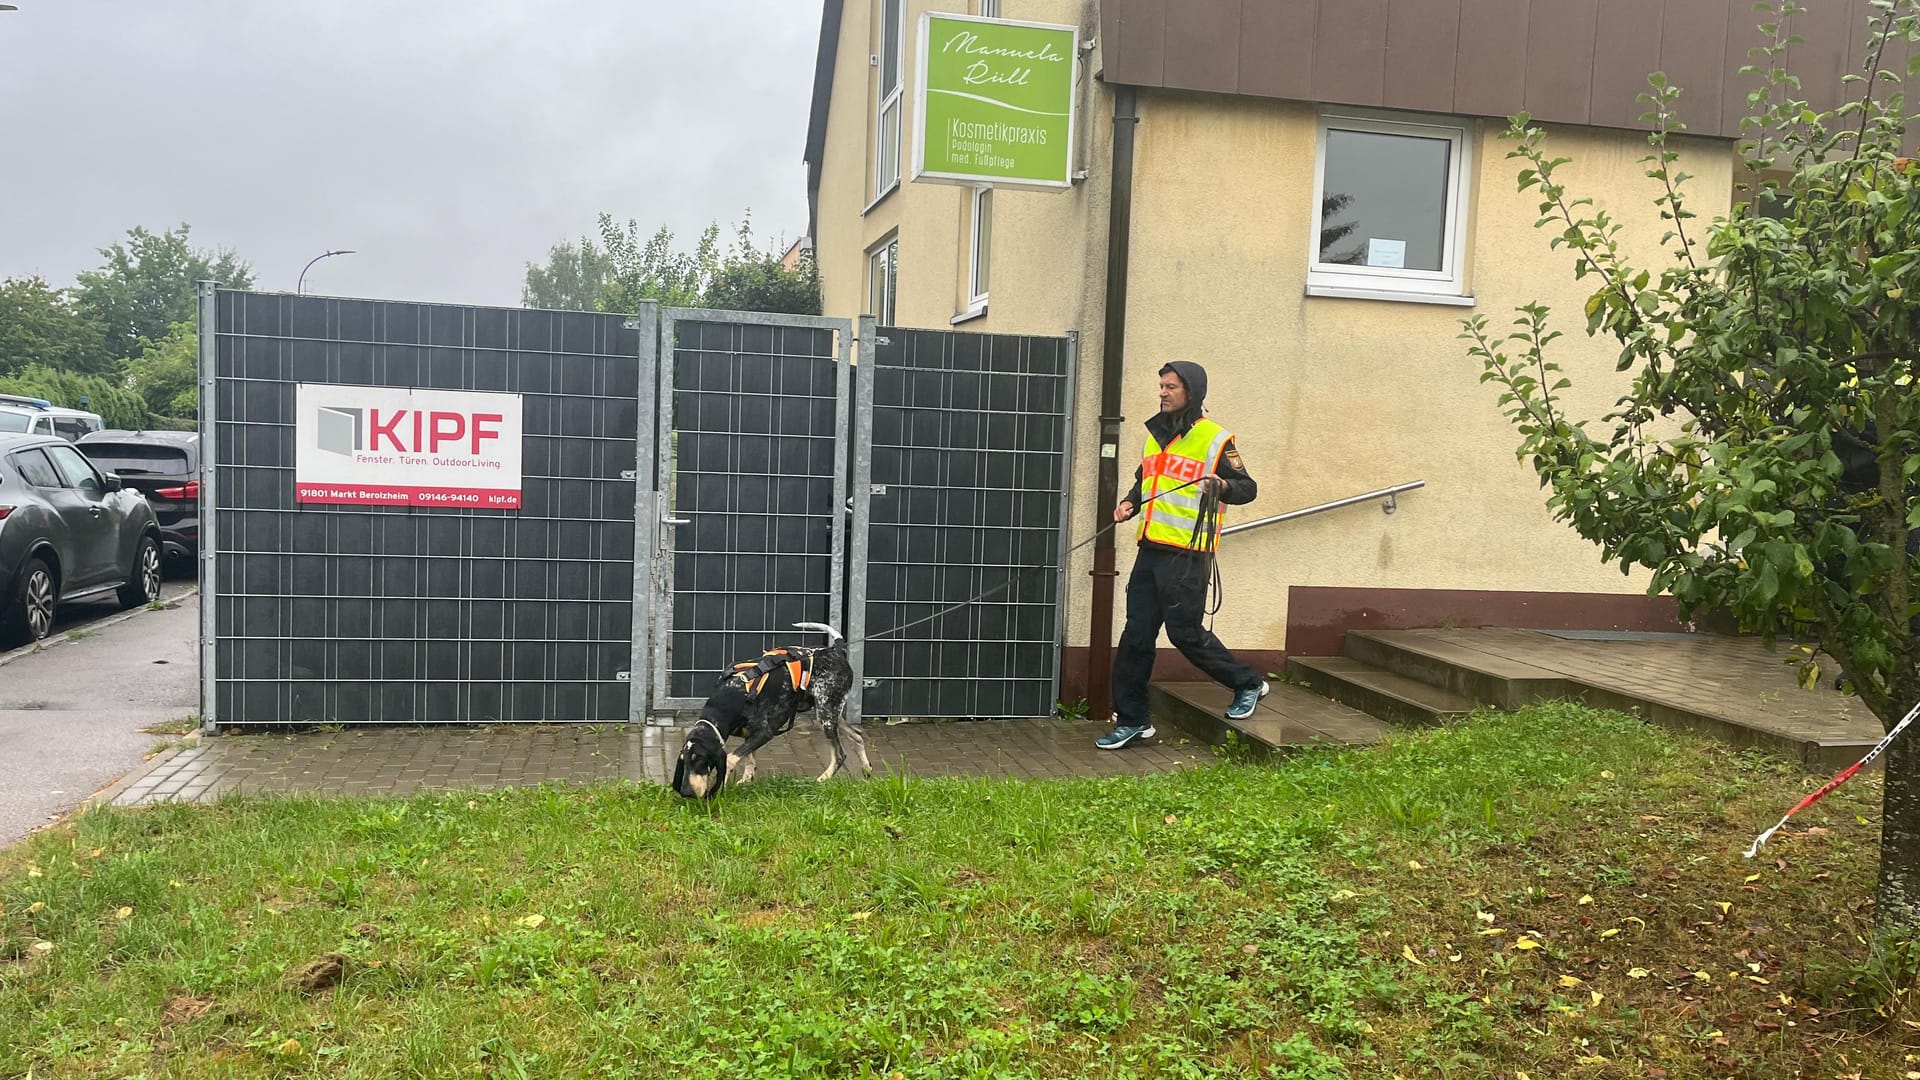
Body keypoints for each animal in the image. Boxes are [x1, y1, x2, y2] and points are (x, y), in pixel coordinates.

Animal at [664, 618, 867, 795]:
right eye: (684, 761)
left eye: (699, 759)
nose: (685, 792)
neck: (729, 699)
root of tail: (836, 650)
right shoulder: (749, 735)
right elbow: (749, 760)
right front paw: (746, 779)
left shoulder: (764, 733)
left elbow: (731, 758)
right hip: (828, 712)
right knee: (857, 735)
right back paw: (866, 771)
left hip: (826, 716)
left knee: (840, 755)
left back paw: (822, 779)